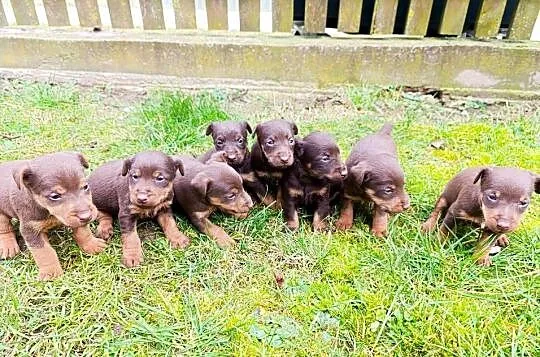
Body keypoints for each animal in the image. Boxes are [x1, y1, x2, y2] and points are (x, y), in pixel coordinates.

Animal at [0, 152, 103, 280]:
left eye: (85, 186)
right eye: (55, 196)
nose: (87, 216)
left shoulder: (75, 220)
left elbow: (84, 233)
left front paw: (92, 244)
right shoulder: (30, 230)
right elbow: (45, 252)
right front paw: (51, 272)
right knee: (4, 228)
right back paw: (8, 246)